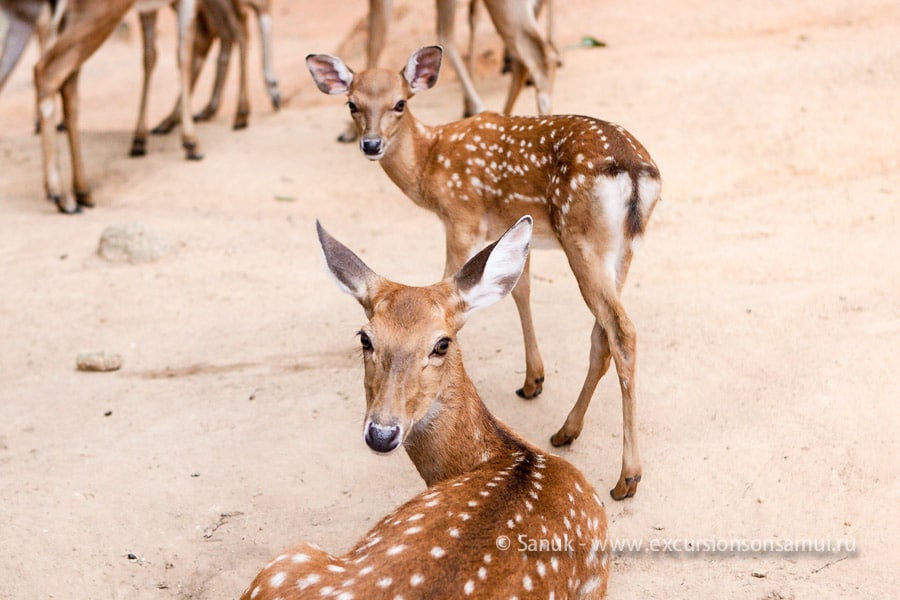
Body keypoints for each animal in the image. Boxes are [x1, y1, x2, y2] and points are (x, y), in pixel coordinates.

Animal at [308, 44, 660, 500]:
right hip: (621, 248)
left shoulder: (462, 218)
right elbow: (520, 290)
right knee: (603, 334)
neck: (430, 165)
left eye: (400, 103)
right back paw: (567, 430)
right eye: (352, 104)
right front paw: (533, 379)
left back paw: (627, 476)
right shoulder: (511, 224)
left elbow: (451, 287)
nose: (371, 144)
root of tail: (636, 172)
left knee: (622, 330)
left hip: (582, 238)